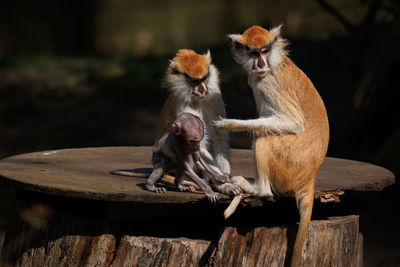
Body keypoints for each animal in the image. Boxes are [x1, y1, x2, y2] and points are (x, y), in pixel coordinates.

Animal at [155, 49, 239, 197]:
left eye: (204, 78)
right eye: (194, 81)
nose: (202, 89)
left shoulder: (214, 97)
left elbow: (219, 138)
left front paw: (225, 177)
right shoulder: (183, 104)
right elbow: (195, 142)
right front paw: (225, 185)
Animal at [214, 24, 330, 266]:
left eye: (265, 51)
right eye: (254, 53)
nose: (261, 64)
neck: (275, 62)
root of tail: (310, 178)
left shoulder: (266, 82)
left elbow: (293, 122)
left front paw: (231, 124)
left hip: (289, 163)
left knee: (263, 138)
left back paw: (258, 188)